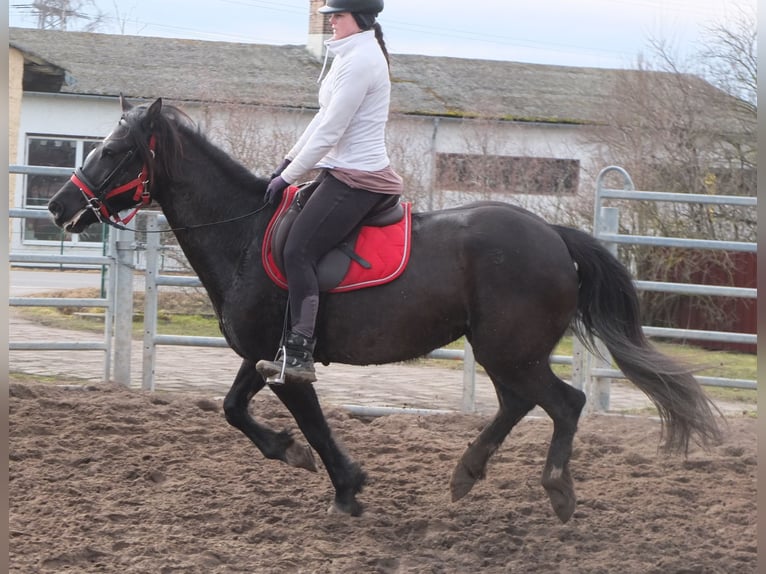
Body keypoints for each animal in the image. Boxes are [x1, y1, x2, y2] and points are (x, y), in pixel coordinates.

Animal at [49, 99, 728, 528]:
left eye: (114, 150)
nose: (59, 207)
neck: (242, 233)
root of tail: (555, 237)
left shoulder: (289, 362)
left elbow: (313, 424)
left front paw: (345, 488)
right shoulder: (262, 354)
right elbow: (234, 408)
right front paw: (290, 453)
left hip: (510, 349)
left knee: (564, 403)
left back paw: (557, 491)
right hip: (504, 351)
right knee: (519, 403)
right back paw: (466, 473)